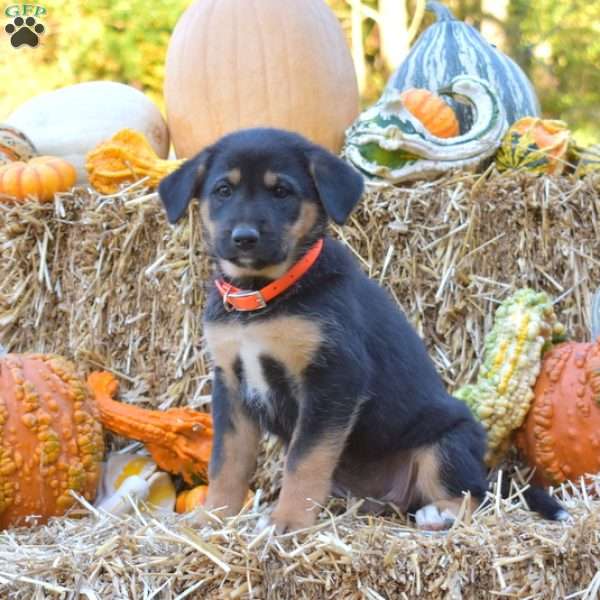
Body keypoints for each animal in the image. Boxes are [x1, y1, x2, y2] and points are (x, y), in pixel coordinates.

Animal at [157, 129, 564, 532]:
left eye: (282, 192)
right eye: (223, 190)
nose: (244, 238)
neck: (263, 296)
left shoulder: (333, 377)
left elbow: (304, 461)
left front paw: (287, 522)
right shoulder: (230, 382)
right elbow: (227, 461)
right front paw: (213, 517)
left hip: (448, 441)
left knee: (473, 496)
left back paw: (439, 514)